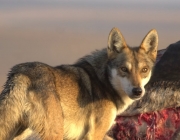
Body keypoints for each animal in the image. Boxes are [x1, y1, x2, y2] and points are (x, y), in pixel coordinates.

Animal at [0, 27, 158, 139]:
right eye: (124, 69)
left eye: (144, 70)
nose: (137, 91)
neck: (105, 82)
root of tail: (21, 73)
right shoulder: (94, 134)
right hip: (54, 132)